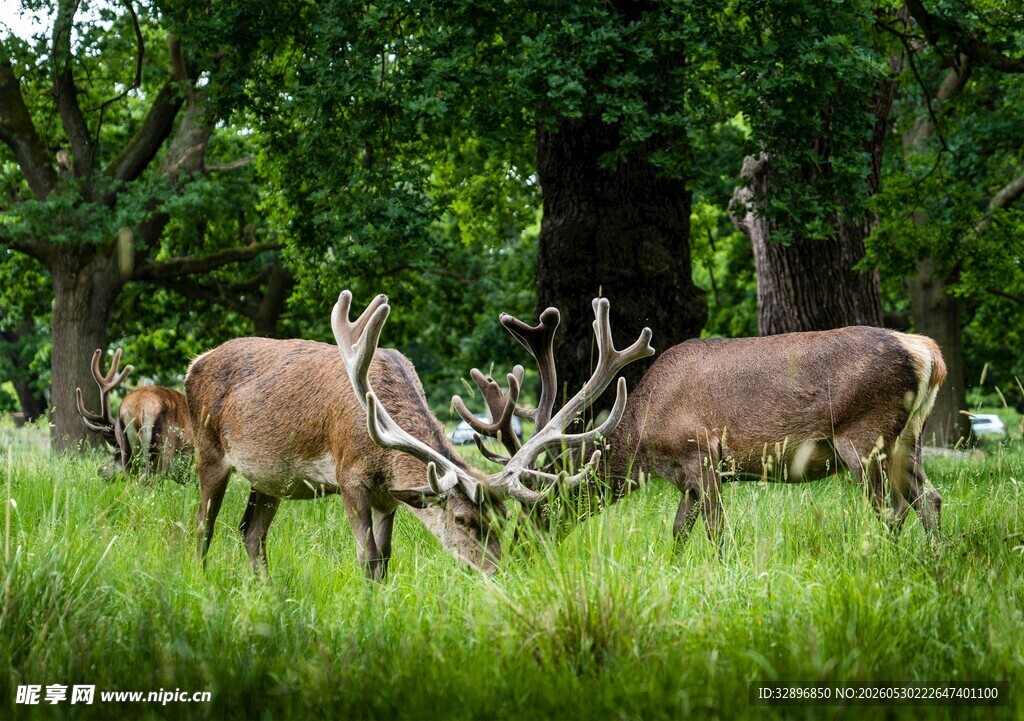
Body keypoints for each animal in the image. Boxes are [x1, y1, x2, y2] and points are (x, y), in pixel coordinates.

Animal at [184, 290, 653, 580]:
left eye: (504, 519)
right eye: (463, 520)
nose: (499, 572)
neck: (382, 454)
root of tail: (193, 364)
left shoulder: (388, 496)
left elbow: (386, 559)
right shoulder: (349, 476)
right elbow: (367, 556)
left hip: (270, 480)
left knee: (251, 532)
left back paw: (265, 590)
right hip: (208, 451)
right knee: (202, 527)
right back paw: (200, 582)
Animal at [456, 311, 946, 549]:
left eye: (536, 512)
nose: (519, 552)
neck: (643, 435)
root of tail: (928, 353)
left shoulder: (701, 455)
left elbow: (717, 534)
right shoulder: (685, 479)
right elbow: (678, 532)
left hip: (865, 435)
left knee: (893, 510)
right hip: (909, 440)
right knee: (931, 498)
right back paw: (935, 560)